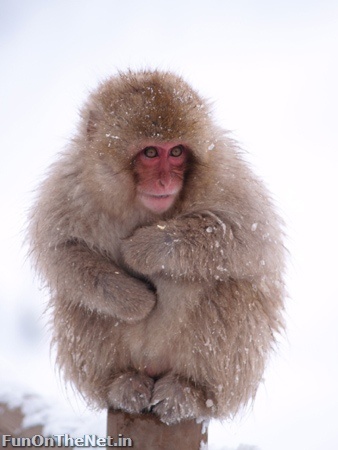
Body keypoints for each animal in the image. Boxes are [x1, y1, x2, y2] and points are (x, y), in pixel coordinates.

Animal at [28, 68, 286, 424]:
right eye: (150, 153)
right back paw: (120, 384)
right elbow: (59, 251)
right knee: (78, 301)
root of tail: (152, 371)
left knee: (230, 286)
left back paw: (191, 392)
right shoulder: (71, 182)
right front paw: (134, 300)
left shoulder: (225, 173)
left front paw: (145, 248)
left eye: (176, 152)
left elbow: (253, 240)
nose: (165, 181)